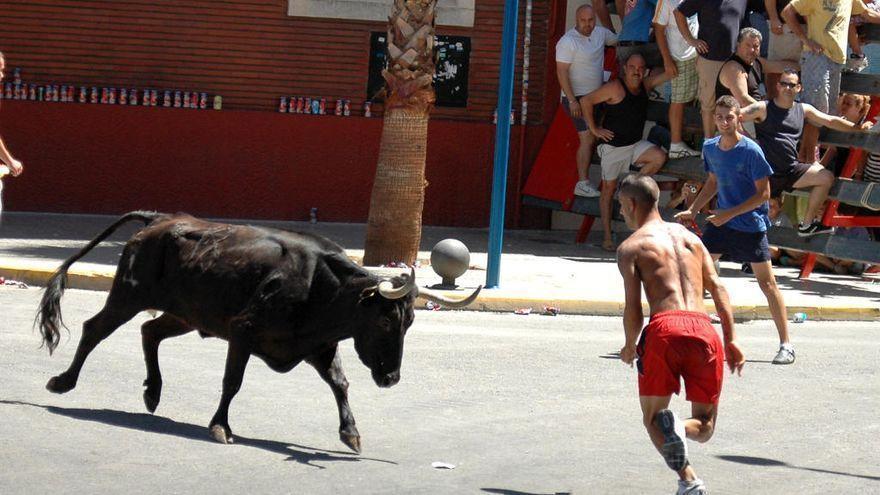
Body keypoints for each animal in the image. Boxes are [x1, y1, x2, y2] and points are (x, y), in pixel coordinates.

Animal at [37, 211, 482, 452]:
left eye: (410, 323)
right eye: (387, 320)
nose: (391, 378)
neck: (322, 287)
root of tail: (160, 220)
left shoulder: (319, 346)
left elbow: (340, 384)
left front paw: (351, 434)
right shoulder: (243, 332)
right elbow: (232, 382)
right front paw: (221, 427)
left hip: (187, 315)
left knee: (150, 331)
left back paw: (152, 392)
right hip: (128, 296)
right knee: (95, 329)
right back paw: (63, 382)